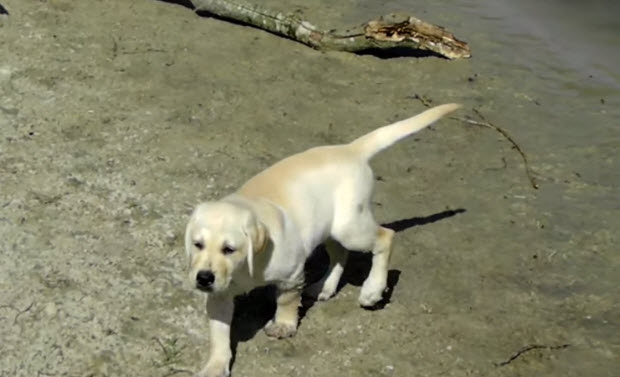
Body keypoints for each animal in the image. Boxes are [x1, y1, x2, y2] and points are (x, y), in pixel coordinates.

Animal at [184, 103, 460, 376]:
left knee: (385, 236)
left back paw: (372, 289)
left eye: (229, 249)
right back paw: (324, 287)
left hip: (350, 228)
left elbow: (286, 301)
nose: (204, 278)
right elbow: (219, 333)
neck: (245, 268)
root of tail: (350, 149)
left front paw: (284, 324)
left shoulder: (291, 275)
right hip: (328, 228)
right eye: (197, 245)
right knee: (340, 254)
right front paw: (215, 365)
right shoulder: (219, 296)